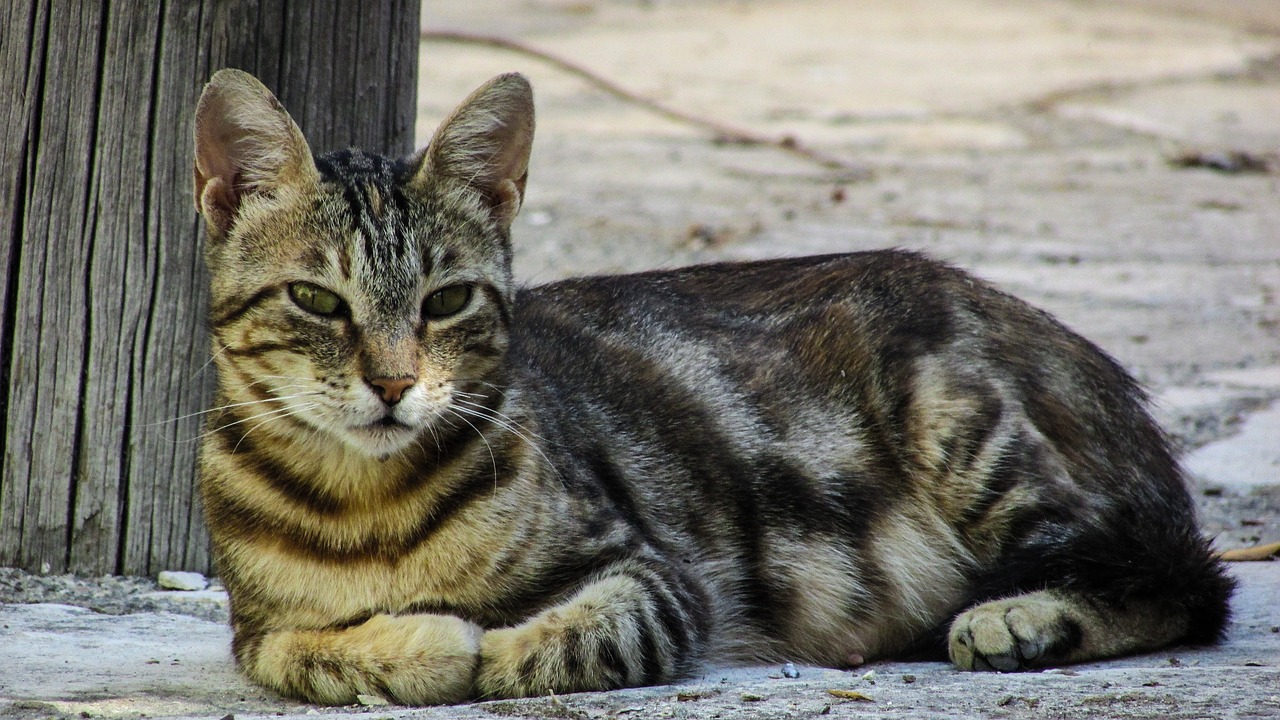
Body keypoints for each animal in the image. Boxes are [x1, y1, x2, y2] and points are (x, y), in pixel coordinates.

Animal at [189, 68, 1228, 702]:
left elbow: (573, 638)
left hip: (954, 412)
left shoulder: (660, 573)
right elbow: (296, 652)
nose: (395, 381)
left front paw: (493, 644)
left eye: (446, 301)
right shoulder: (252, 628)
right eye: (316, 299)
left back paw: (1024, 615)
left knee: (1184, 581)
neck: (365, 506)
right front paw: (414, 642)